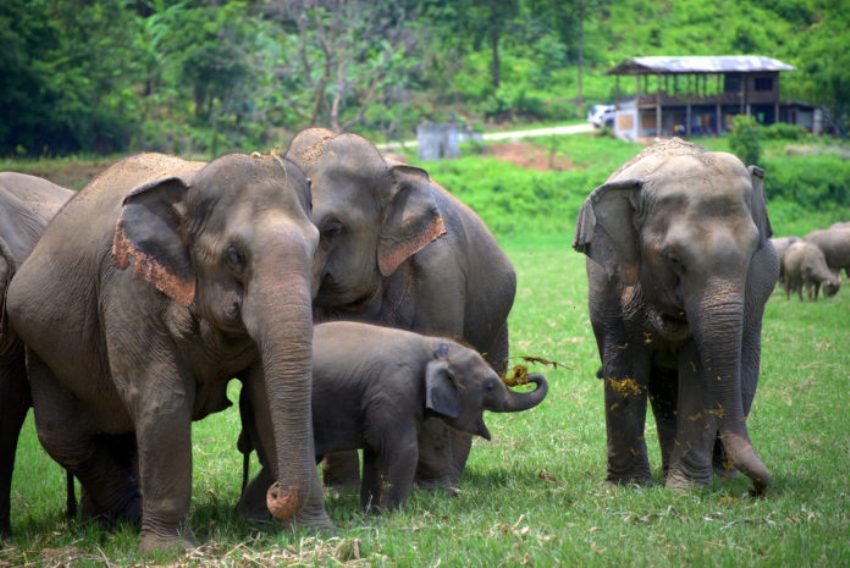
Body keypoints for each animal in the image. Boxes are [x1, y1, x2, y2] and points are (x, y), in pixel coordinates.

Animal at [6, 152, 332, 552]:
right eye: (235, 255)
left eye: (316, 248)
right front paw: (169, 550)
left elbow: (266, 397)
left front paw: (315, 532)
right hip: (42, 345)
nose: (275, 493)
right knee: (63, 436)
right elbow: (163, 398)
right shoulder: (128, 286)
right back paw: (126, 516)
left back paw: (108, 522)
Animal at [235, 129, 512, 510]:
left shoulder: (439, 273)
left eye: (334, 228)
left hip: (497, 326)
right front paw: (341, 492)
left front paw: (435, 492)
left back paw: (453, 480)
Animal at [235, 320, 548, 516]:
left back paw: (251, 519)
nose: (529, 372)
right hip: (269, 405)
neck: (431, 345)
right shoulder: (393, 392)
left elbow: (376, 453)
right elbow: (403, 450)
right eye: (490, 386)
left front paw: (372, 515)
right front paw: (394, 517)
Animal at [572, 138, 780, 492]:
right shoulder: (609, 286)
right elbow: (624, 365)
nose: (758, 488)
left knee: (739, 378)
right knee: (665, 390)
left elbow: (699, 374)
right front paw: (629, 487)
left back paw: (718, 476)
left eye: (752, 253)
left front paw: (686, 490)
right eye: (673, 258)